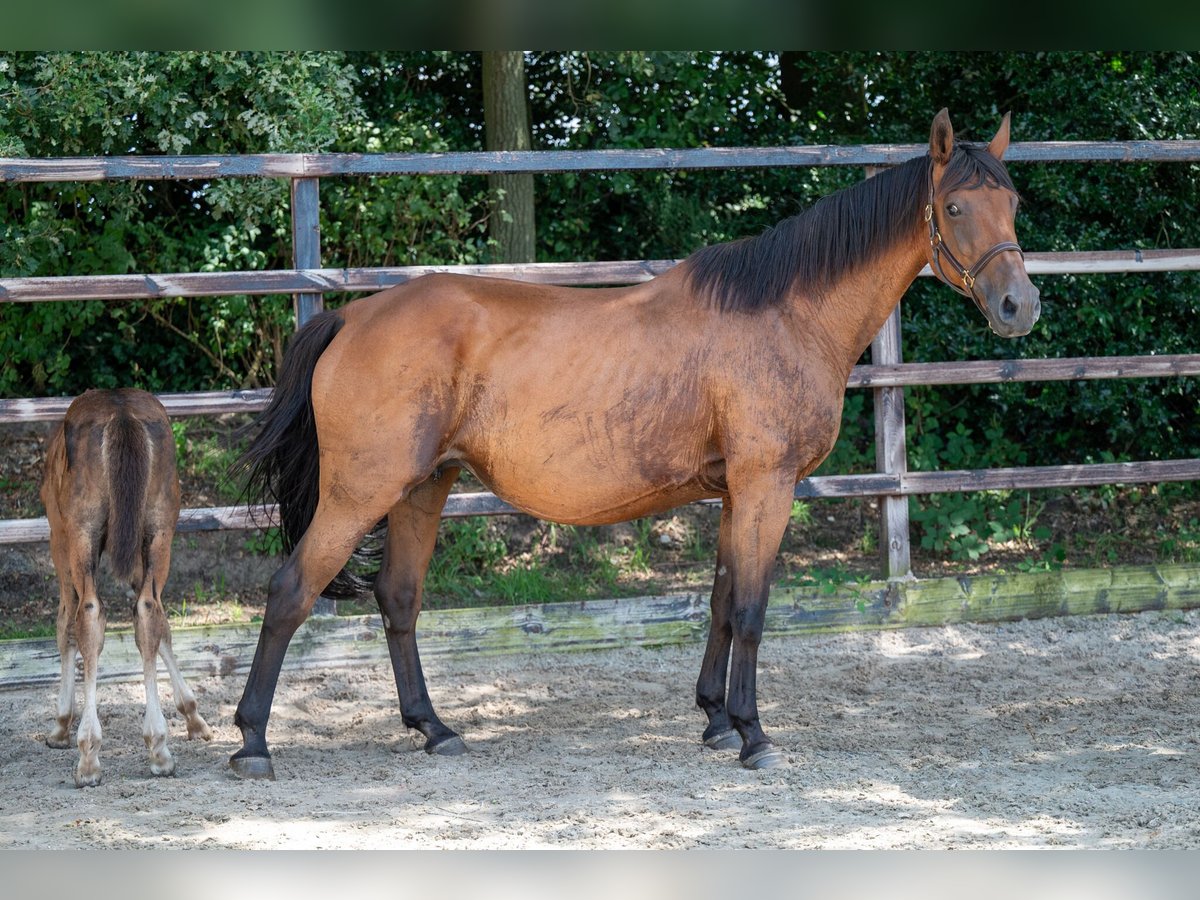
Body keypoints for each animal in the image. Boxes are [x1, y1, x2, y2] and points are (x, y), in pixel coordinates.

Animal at [41, 388, 211, 787]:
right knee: (149, 610)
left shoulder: (59, 540)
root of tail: (121, 414)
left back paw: (88, 755)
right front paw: (193, 716)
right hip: (159, 531)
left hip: (80, 537)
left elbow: (65, 625)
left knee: (89, 613)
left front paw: (60, 725)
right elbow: (161, 629)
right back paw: (159, 747)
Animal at [231, 107, 1041, 782]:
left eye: (1012, 205)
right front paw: (753, 734)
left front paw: (715, 719)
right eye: (955, 207)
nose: (1019, 306)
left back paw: (434, 729)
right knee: (290, 592)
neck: (786, 313)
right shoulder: (767, 483)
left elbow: (722, 601)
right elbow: (753, 608)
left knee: (398, 599)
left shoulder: (733, 492)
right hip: (359, 493)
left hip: (422, 489)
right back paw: (253, 742)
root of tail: (351, 317)